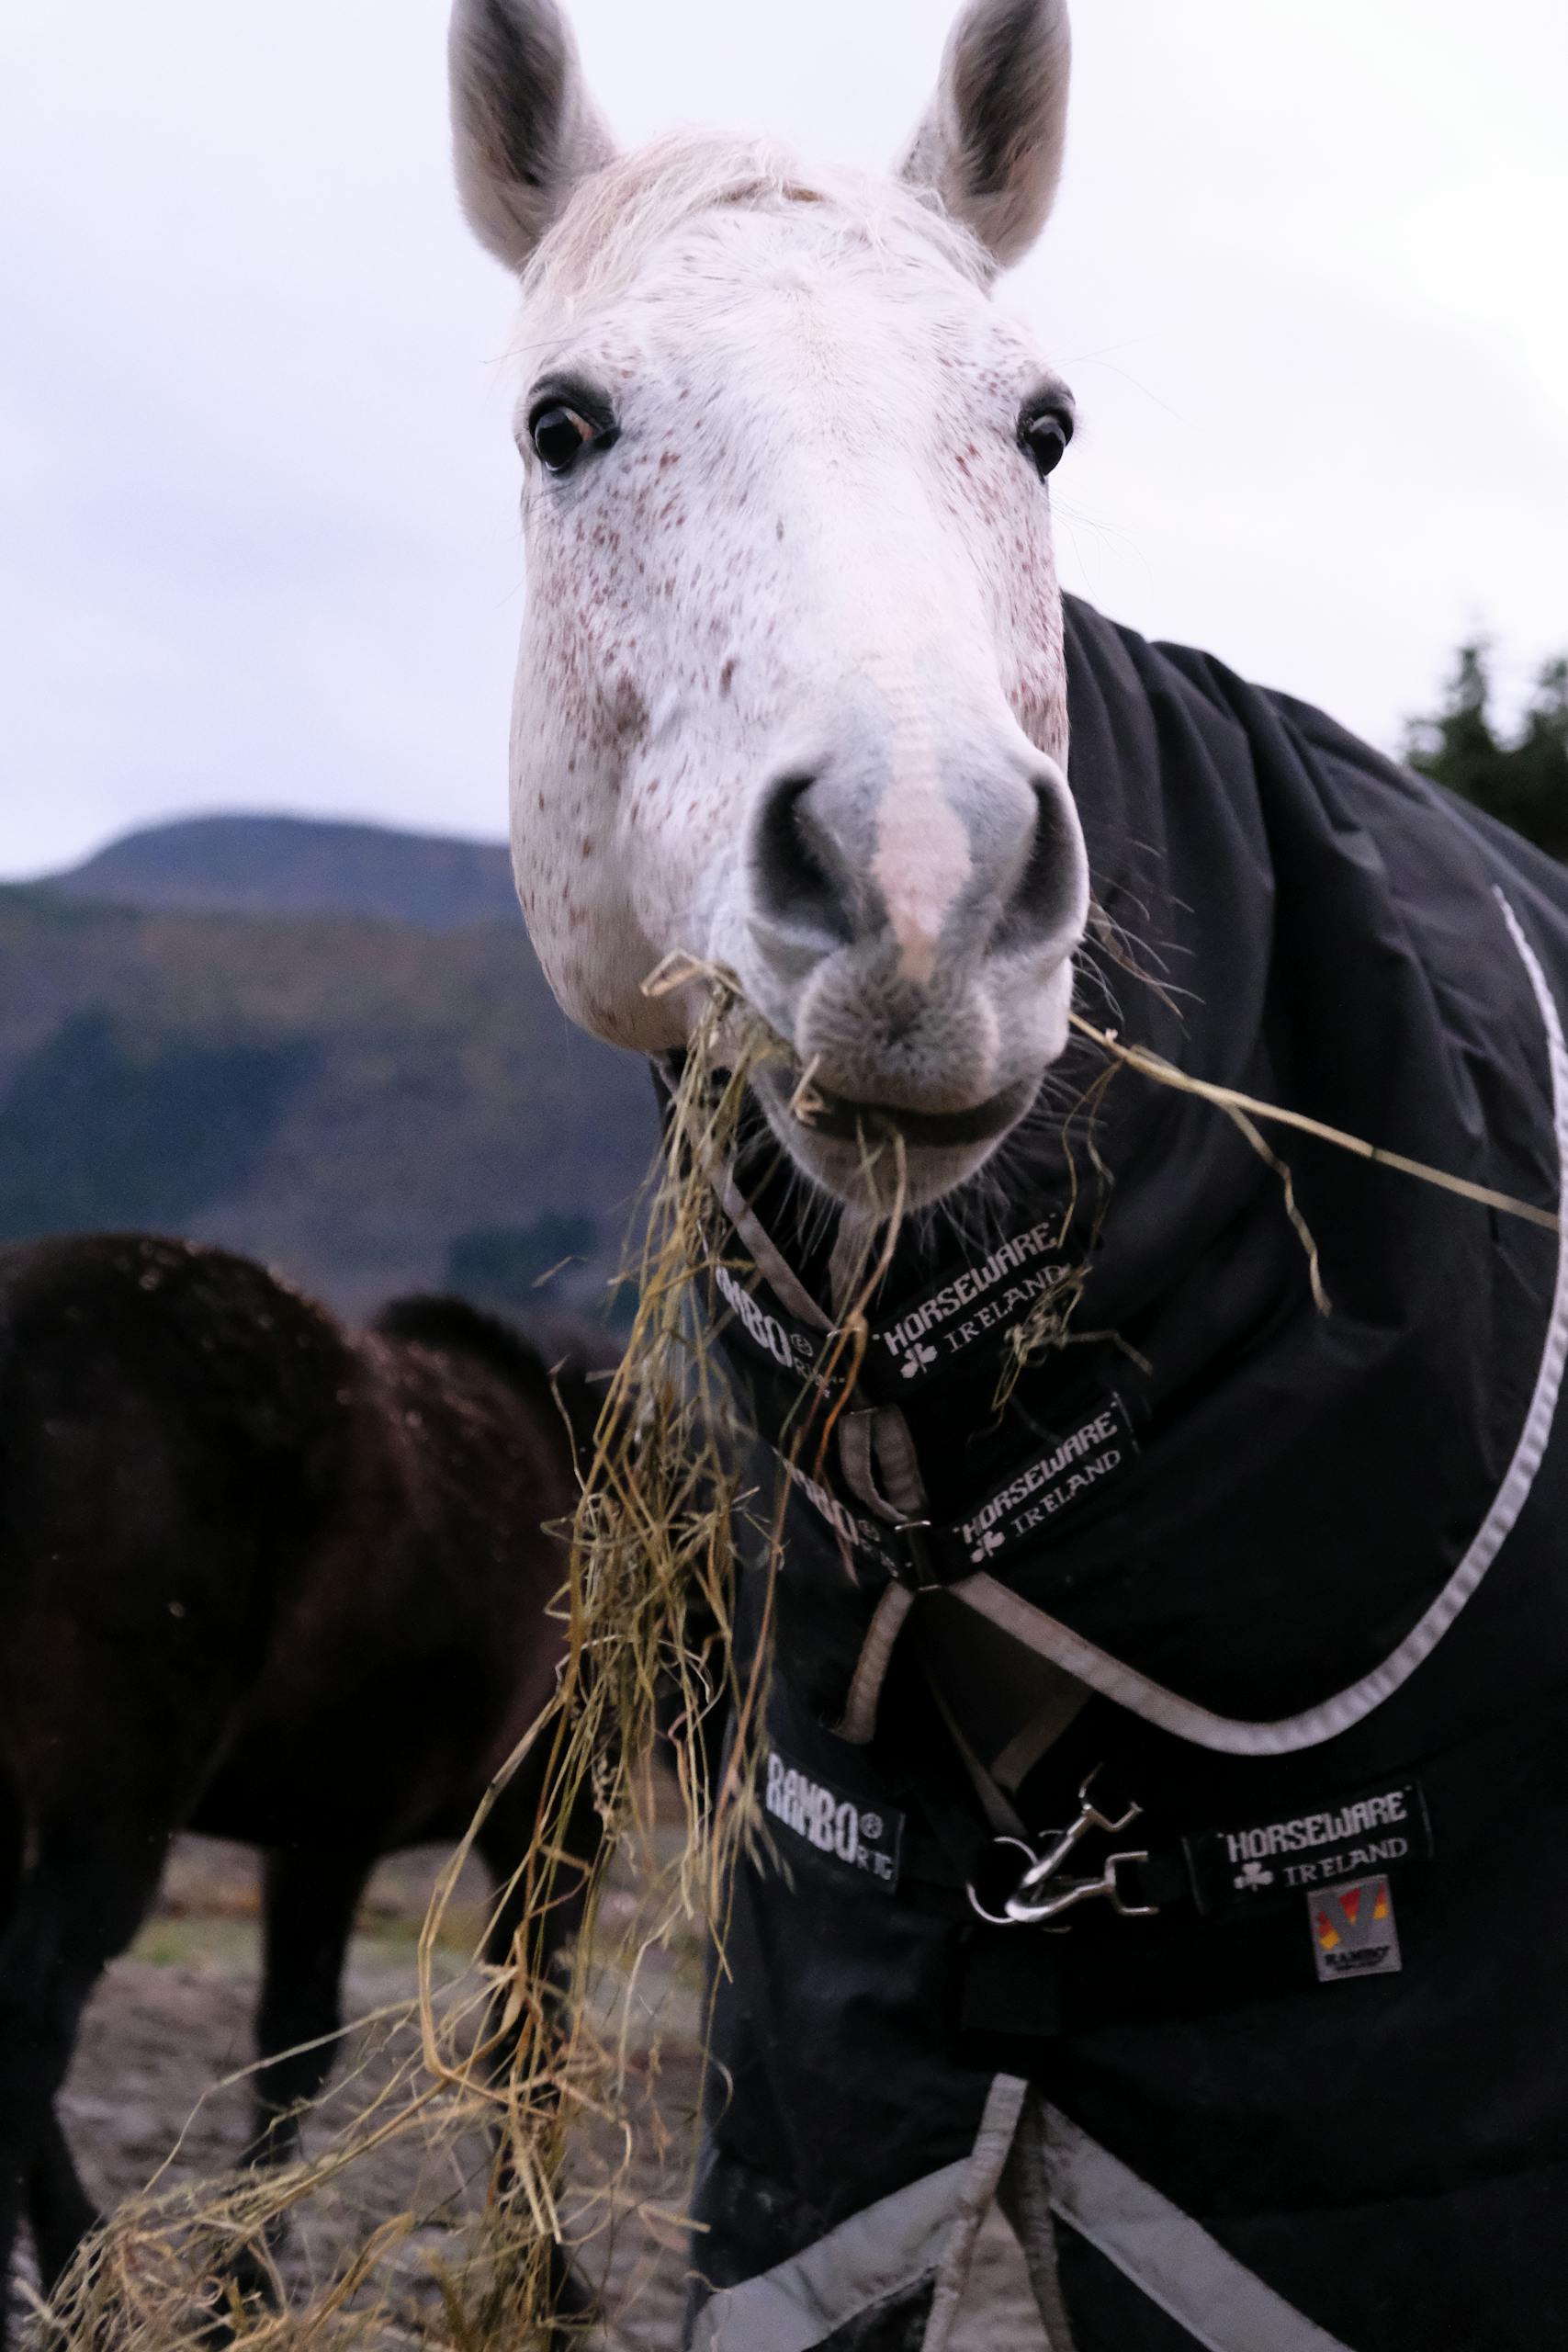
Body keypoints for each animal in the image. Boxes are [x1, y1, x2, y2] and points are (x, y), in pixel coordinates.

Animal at [0, 1232, 606, 2333]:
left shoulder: (312, 1835)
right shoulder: (482, 1830)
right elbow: (495, 2045)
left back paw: (87, 2271)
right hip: (112, 1808)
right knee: (35, 2009)